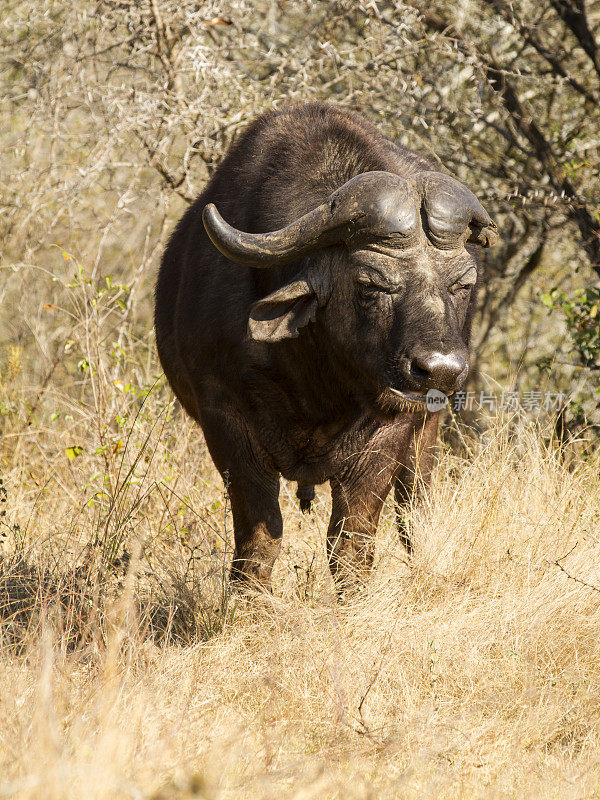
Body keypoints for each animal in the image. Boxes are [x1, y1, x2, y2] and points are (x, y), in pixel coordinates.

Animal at [155, 103, 496, 588]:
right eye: (370, 284)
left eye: (463, 285)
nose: (442, 369)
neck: (315, 377)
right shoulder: (224, 420)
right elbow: (258, 542)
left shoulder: (390, 430)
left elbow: (350, 544)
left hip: (427, 436)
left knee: (415, 509)